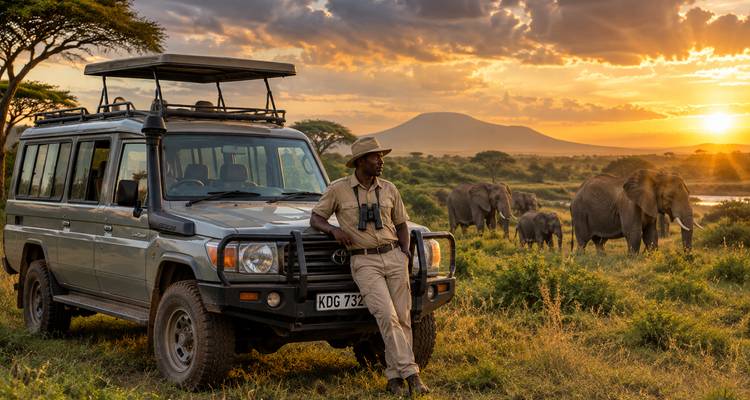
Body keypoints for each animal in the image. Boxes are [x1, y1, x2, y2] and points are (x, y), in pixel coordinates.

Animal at [570, 170, 703, 254]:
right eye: (669, 197)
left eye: (689, 193)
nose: (687, 257)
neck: (656, 176)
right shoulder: (629, 205)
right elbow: (634, 232)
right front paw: (632, 259)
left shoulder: (650, 204)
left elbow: (651, 234)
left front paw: (652, 257)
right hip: (580, 212)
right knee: (582, 241)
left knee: (599, 241)